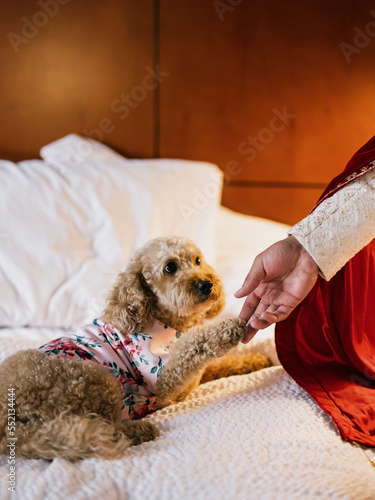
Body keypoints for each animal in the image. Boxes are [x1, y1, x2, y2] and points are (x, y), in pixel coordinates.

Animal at [0, 236, 272, 458]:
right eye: (170, 267)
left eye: (197, 260)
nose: (207, 284)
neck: (162, 317)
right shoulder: (165, 379)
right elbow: (195, 345)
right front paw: (229, 329)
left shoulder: (195, 376)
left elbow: (220, 363)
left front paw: (257, 359)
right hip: (94, 379)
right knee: (93, 427)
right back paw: (135, 431)